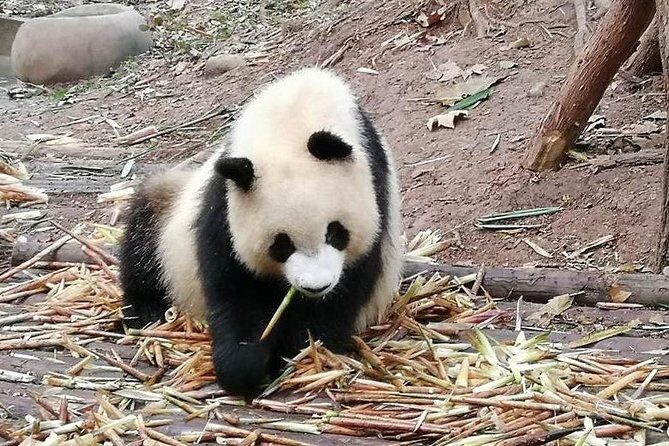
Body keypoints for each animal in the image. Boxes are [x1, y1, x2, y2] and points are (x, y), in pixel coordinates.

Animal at [119, 67, 404, 397]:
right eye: (281, 244)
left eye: (335, 232)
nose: (315, 286)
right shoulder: (225, 201)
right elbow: (235, 285)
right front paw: (245, 363)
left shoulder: (374, 187)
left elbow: (347, 288)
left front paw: (297, 352)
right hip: (169, 211)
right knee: (143, 237)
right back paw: (146, 310)